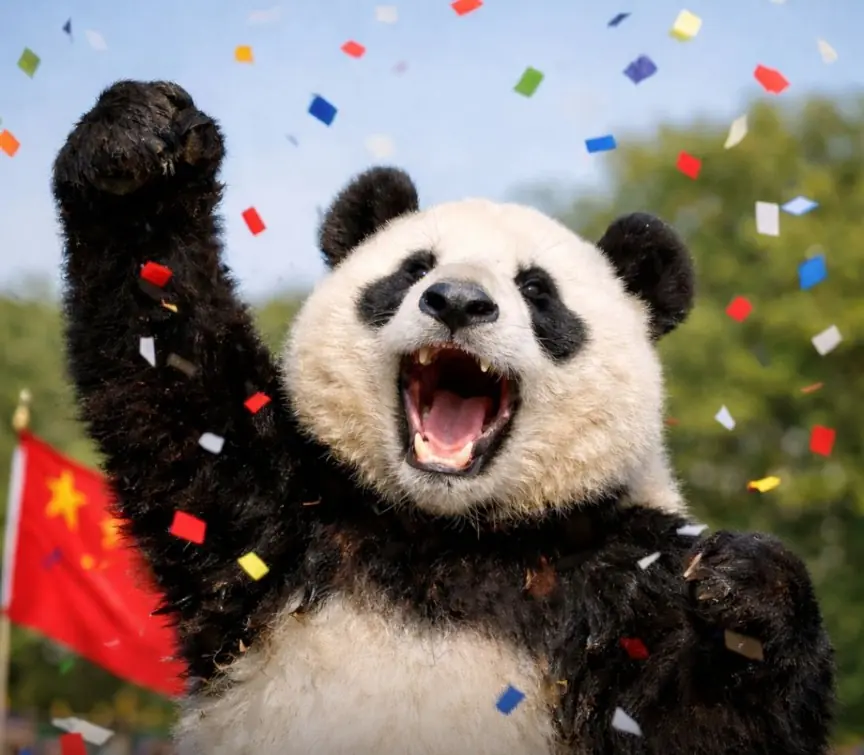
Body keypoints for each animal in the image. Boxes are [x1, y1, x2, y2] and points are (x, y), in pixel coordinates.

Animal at [53, 80, 835, 755]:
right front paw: (141, 139)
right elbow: (174, 370)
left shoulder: (621, 578)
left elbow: (706, 727)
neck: (448, 533)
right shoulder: (282, 514)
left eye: (536, 290)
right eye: (412, 269)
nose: (457, 302)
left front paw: (747, 589)